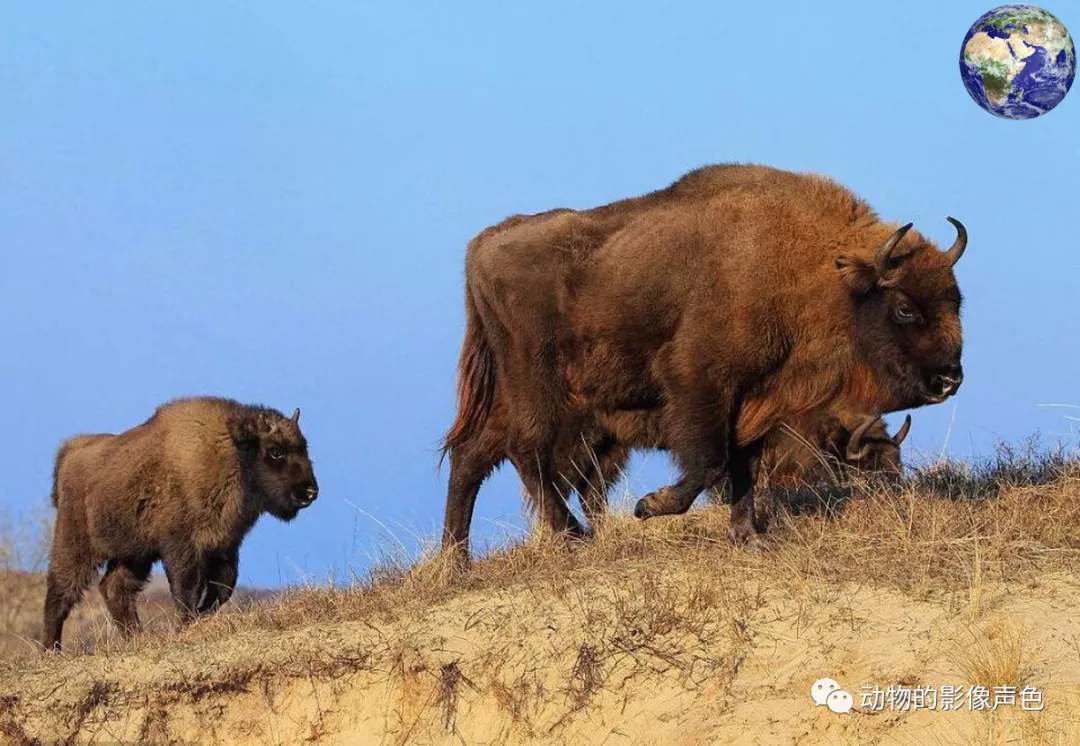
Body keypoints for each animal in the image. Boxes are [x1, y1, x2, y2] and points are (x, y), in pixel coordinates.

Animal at [43, 397, 319, 652]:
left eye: (305, 448)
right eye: (275, 451)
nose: (309, 492)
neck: (231, 455)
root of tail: (71, 451)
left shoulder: (224, 546)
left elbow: (224, 586)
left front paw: (201, 617)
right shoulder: (182, 547)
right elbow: (186, 588)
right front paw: (187, 624)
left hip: (135, 555)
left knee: (113, 588)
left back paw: (138, 638)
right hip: (76, 546)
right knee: (60, 594)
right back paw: (51, 650)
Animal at [442, 163, 967, 561]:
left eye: (956, 300)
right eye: (904, 308)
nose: (949, 379)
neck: (817, 273)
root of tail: (480, 246)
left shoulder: (756, 400)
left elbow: (741, 467)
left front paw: (748, 536)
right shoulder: (700, 385)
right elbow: (710, 463)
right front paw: (649, 506)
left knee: (475, 455)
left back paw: (457, 560)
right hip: (539, 383)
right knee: (528, 449)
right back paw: (572, 536)